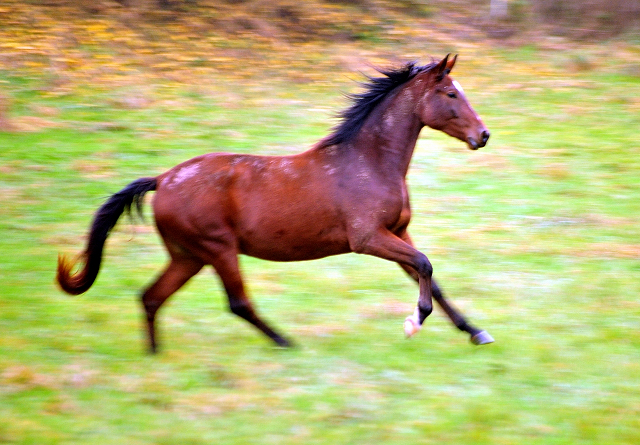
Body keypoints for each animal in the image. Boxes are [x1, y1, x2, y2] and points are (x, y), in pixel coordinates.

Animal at [56, 53, 496, 352]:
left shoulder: (398, 231)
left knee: (150, 297)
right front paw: (414, 321)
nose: (484, 135)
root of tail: (162, 180)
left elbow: (431, 277)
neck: (369, 161)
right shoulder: (368, 238)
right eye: (451, 93)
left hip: (187, 256)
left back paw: (154, 356)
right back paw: (286, 343)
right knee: (237, 303)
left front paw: (476, 332)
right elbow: (425, 265)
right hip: (217, 249)